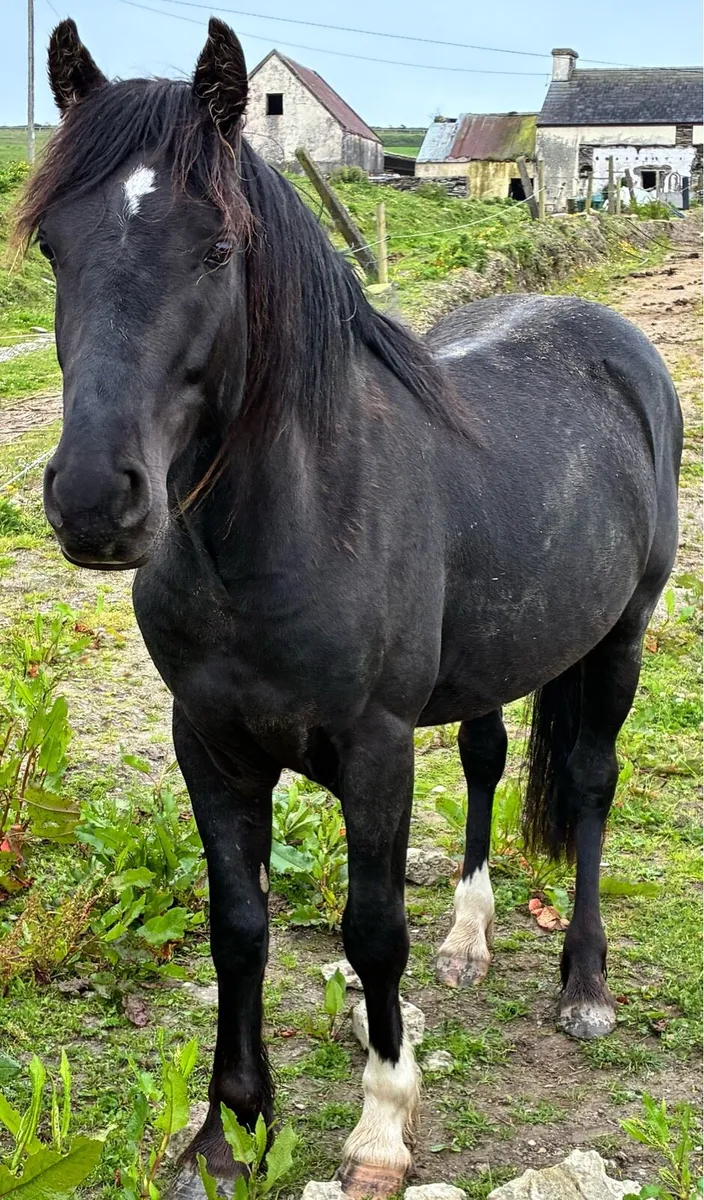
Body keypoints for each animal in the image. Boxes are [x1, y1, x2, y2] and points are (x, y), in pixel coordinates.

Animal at [19, 17, 682, 1200]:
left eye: (218, 250)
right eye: (54, 244)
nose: (95, 500)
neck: (288, 529)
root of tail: (613, 341)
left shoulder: (374, 749)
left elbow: (371, 930)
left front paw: (380, 1125)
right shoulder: (209, 742)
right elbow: (237, 924)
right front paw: (229, 1128)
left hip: (621, 638)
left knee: (592, 787)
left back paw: (583, 986)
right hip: (496, 658)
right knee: (486, 759)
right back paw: (469, 939)